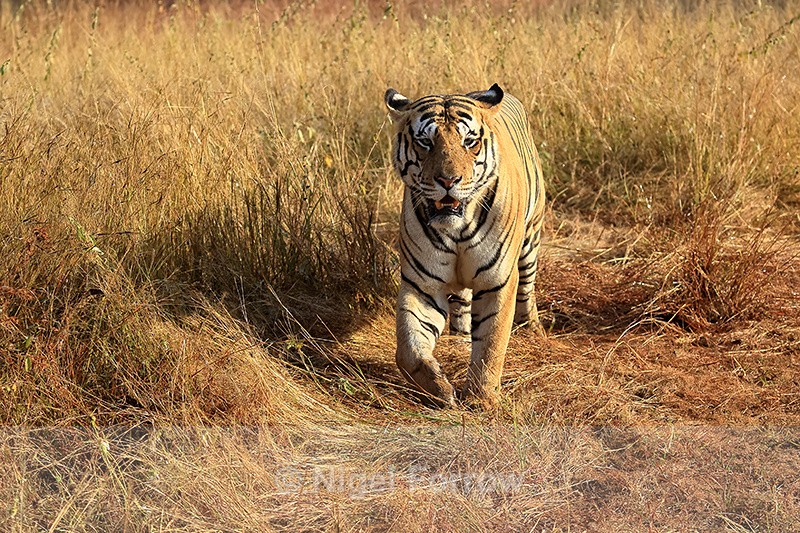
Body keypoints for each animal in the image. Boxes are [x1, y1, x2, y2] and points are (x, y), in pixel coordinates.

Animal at [384, 83, 545, 409]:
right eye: (425, 142)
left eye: (469, 141)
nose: (448, 181)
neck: (456, 230)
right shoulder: (422, 286)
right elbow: (408, 348)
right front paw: (438, 388)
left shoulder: (497, 282)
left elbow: (491, 345)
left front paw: (482, 400)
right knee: (461, 303)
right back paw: (459, 341)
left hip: (530, 240)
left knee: (527, 288)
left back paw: (532, 327)